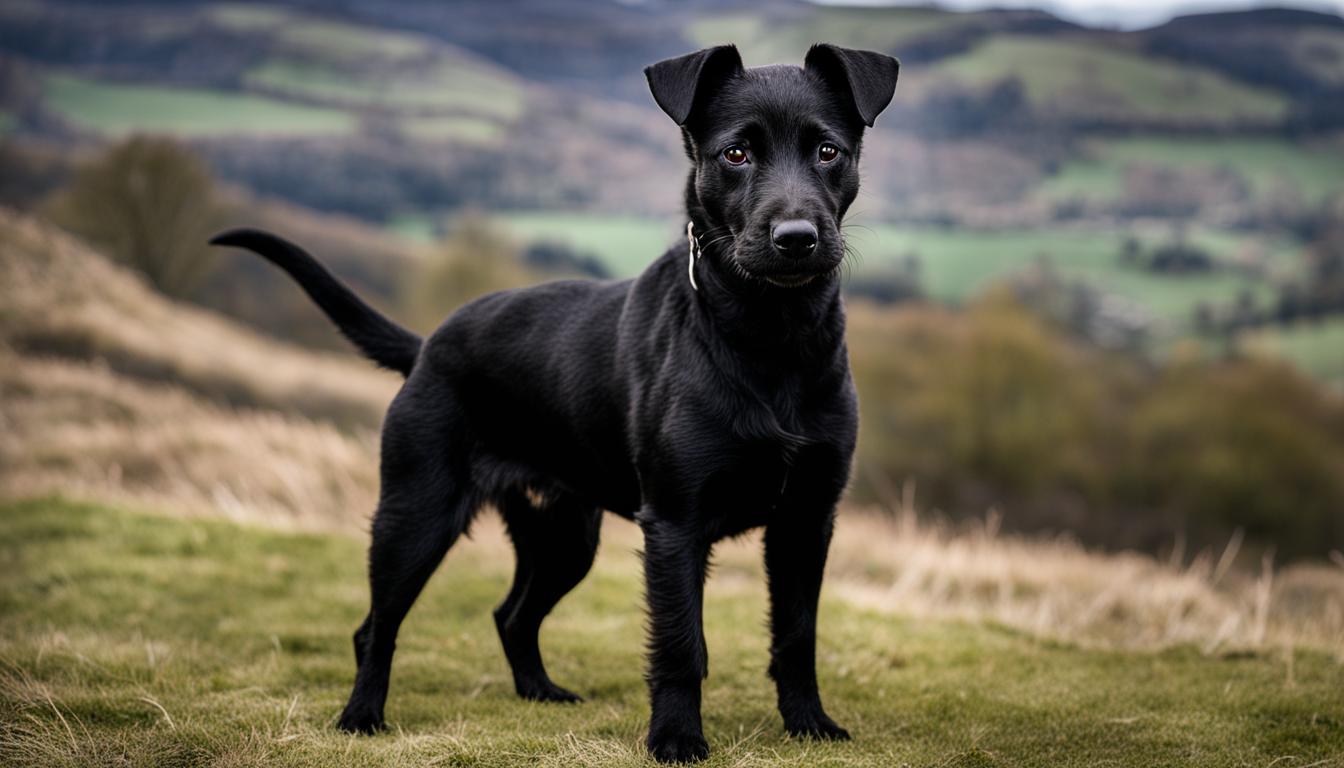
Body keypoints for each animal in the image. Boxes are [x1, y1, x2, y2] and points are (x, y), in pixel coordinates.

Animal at [209, 43, 897, 763]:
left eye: (827, 150)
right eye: (735, 154)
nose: (796, 237)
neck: (769, 337)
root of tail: (428, 346)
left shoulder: (806, 521)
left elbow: (798, 635)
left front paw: (810, 726)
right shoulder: (675, 526)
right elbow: (681, 644)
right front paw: (677, 738)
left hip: (563, 535)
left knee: (512, 615)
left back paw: (539, 691)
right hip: (415, 514)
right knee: (377, 626)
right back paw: (361, 716)